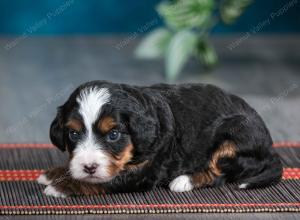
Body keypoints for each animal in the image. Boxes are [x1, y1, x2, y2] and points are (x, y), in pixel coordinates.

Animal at [37, 81, 282, 198]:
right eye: (73, 134)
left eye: (113, 135)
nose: (89, 166)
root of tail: (270, 146)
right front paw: (54, 174)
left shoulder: (144, 172)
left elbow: (103, 180)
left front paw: (61, 187)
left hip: (233, 138)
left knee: (218, 174)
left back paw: (184, 181)